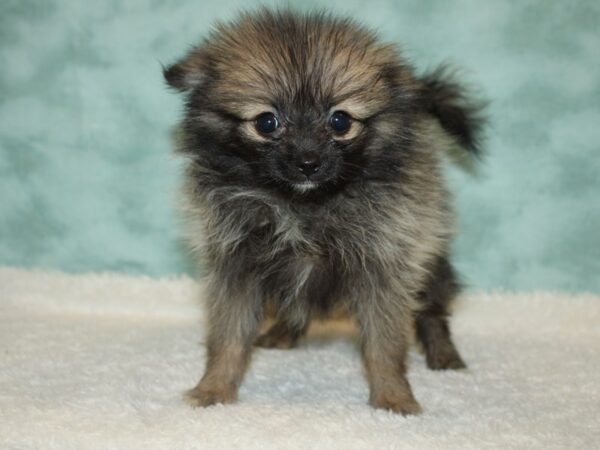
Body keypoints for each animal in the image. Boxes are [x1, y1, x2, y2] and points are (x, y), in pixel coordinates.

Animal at [163, 8, 482, 414]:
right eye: (267, 122)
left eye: (340, 121)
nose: (308, 162)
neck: (300, 205)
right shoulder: (236, 265)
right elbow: (228, 337)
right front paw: (214, 390)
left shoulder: (382, 264)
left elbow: (384, 344)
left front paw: (394, 399)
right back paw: (282, 333)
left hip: (429, 258)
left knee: (432, 313)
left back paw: (444, 356)